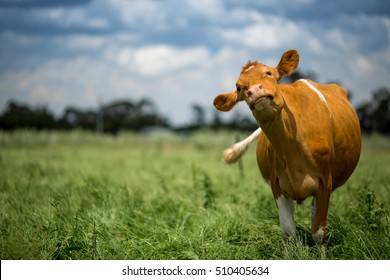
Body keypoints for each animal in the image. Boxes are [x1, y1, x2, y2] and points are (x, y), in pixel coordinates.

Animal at [215, 49, 362, 250]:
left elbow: (318, 232)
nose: (255, 91)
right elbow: (288, 233)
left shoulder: (325, 181)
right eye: (239, 88)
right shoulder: (277, 186)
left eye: (269, 73)